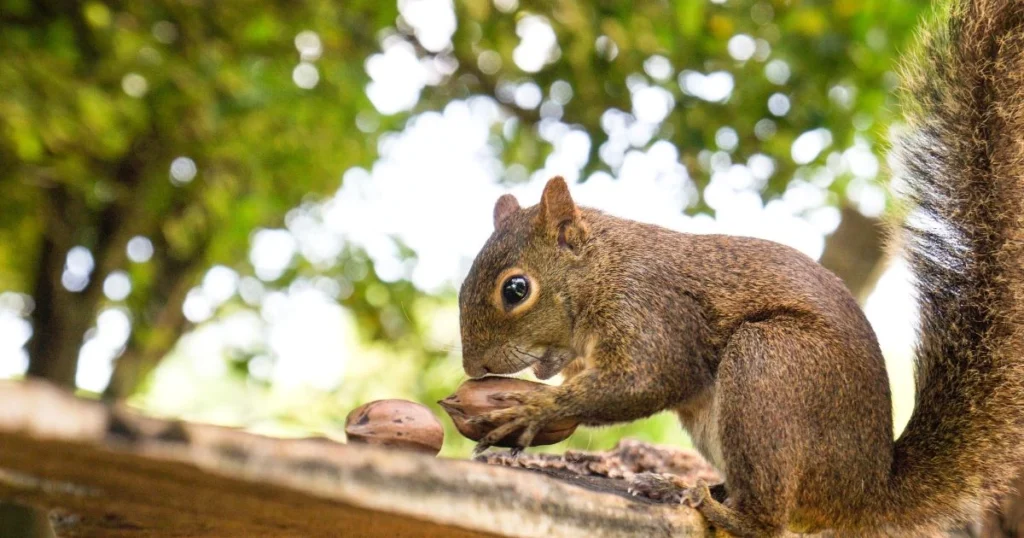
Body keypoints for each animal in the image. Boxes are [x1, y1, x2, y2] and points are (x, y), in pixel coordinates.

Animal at [456, 0, 1024, 532]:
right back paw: (680, 488)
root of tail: (866, 492)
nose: (473, 367)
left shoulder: (651, 310)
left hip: (769, 364)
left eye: (516, 290)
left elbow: (646, 379)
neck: (603, 268)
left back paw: (714, 507)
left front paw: (535, 409)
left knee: (769, 520)